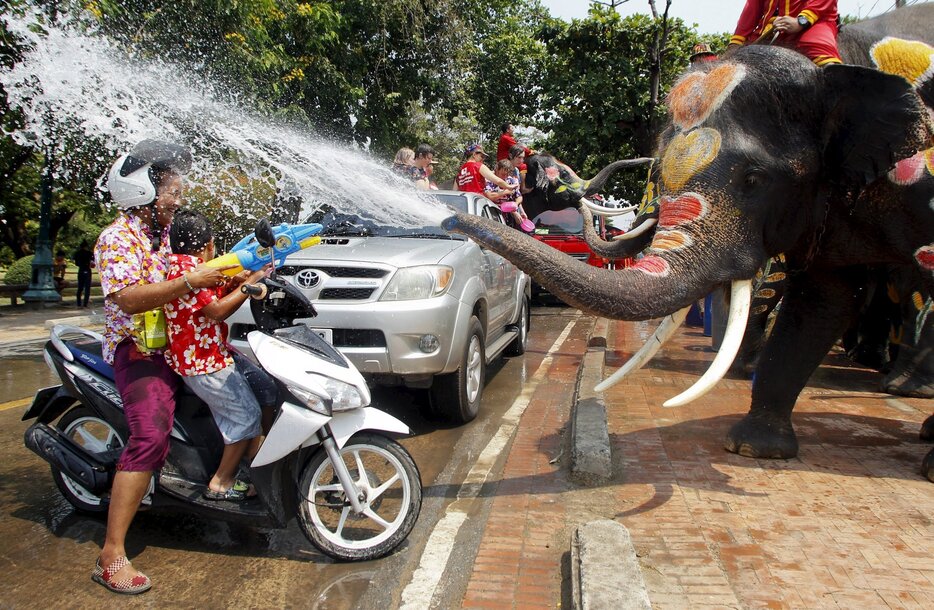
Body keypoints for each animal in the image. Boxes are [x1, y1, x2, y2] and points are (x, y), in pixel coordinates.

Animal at [444, 42, 934, 480]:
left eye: (754, 180)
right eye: (559, 175)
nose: (449, 218)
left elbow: (826, 300)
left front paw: (750, 449)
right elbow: (824, 300)